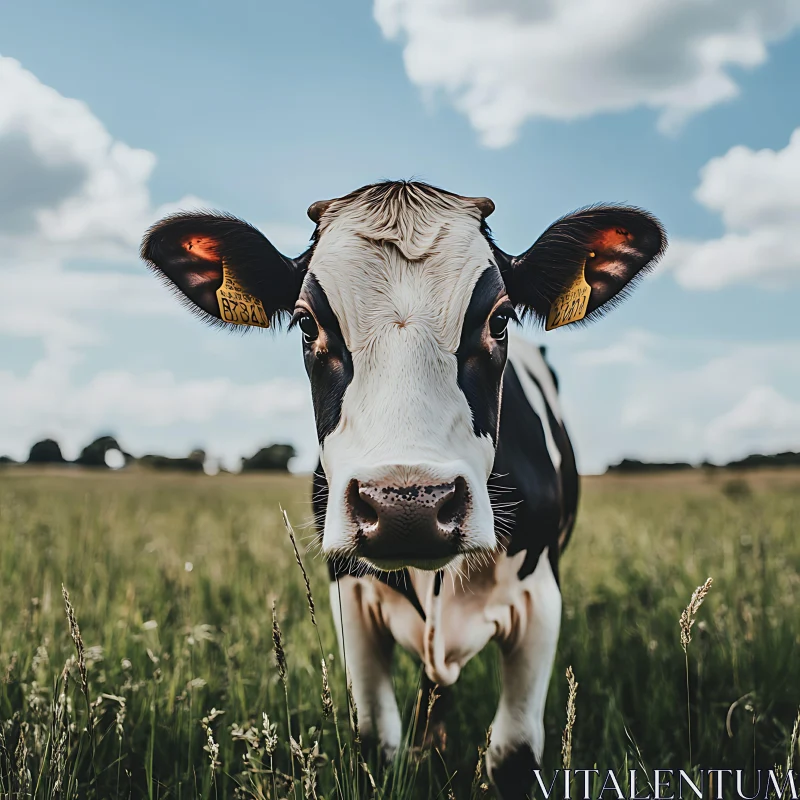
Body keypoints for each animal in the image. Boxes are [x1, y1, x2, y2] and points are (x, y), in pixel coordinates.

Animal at [141, 183, 664, 800]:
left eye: (501, 318)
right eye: (306, 324)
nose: (406, 507)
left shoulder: (540, 598)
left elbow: (513, 753)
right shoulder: (350, 597)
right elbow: (376, 741)